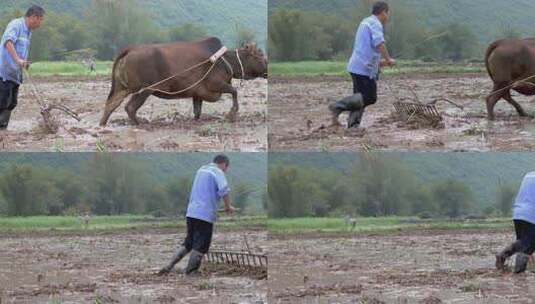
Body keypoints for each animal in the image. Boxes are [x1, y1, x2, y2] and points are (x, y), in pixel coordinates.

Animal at [98, 37, 268, 126]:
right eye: (260, 55)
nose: (268, 70)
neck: (226, 61)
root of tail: (130, 49)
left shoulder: (197, 94)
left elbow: (197, 111)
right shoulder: (216, 84)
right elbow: (234, 91)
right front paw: (232, 113)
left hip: (122, 88)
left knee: (111, 105)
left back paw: (103, 125)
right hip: (146, 89)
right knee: (130, 107)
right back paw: (140, 123)